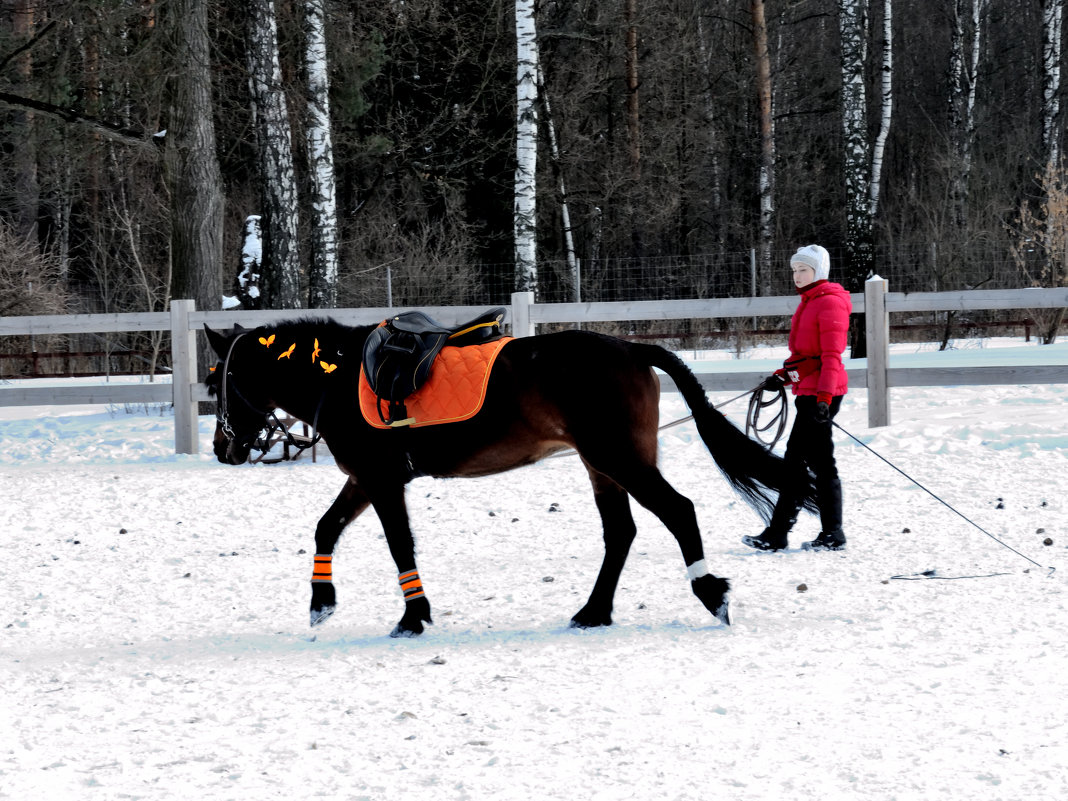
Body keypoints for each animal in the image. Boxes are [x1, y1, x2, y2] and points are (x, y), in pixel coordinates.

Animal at [203, 316, 811, 636]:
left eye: (217, 380)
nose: (223, 448)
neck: (339, 378)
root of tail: (632, 350)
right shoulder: (365, 479)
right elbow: (326, 528)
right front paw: (321, 603)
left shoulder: (381, 480)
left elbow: (399, 545)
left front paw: (413, 616)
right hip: (601, 465)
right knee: (621, 533)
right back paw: (594, 612)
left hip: (618, 458)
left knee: (677, 511)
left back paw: (712, 594)